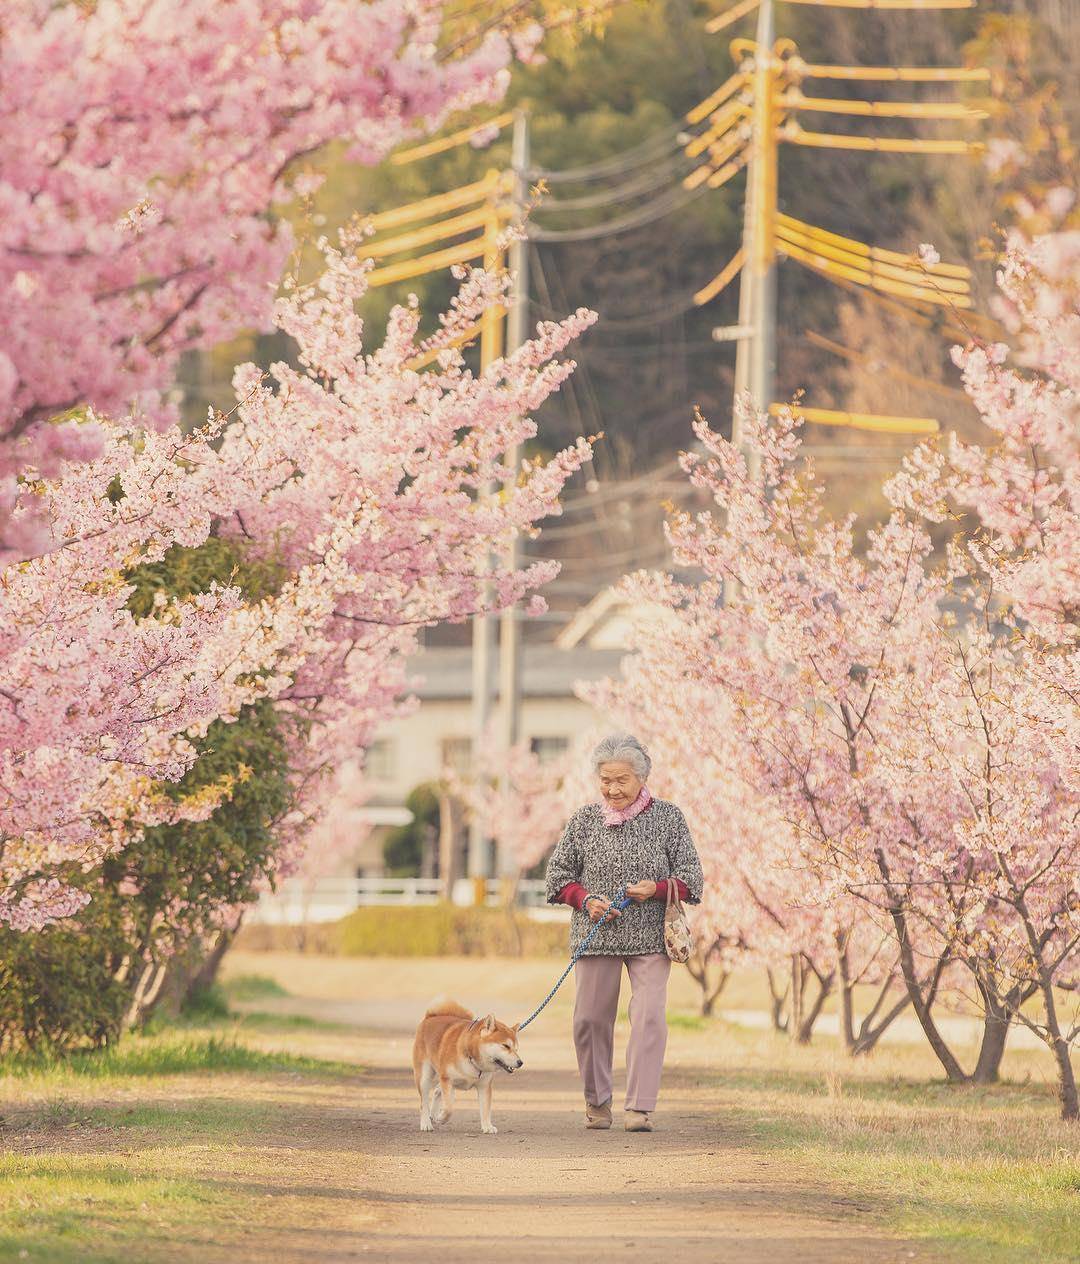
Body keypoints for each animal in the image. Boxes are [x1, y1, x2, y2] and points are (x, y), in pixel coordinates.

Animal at [414, 996, 523, 1137]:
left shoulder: (484, 1086)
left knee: (437, 1090)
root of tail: (430, 1017)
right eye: (505, 1046)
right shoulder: (447, 1080)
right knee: (424, 1103)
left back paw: (433, 1114)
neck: (471, 1057)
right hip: (425, 1077)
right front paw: (442, 1117)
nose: (520, 1062)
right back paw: (426, 1123)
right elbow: (449, 1108)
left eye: (516, 1049)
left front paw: (487, 1126)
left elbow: (486, 1109)